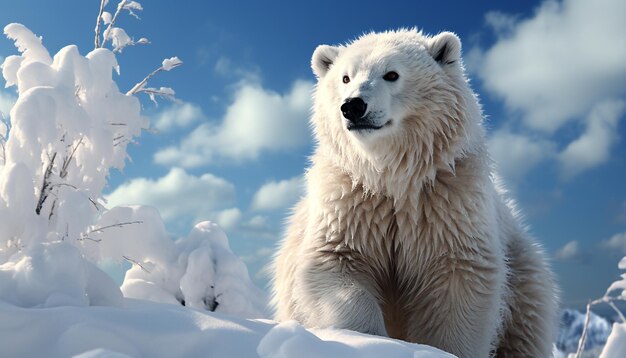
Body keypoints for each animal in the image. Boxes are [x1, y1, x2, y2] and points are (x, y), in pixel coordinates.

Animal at [270, 29, 552, 356]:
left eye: (392, 74)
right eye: (345, 78)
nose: (353, 106)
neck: (392, 177)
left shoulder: (447, 205)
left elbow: (459, 283)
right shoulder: (352, 204)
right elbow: (336, 264)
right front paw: (371, 341)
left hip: (523, 275)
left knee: (524, 330)